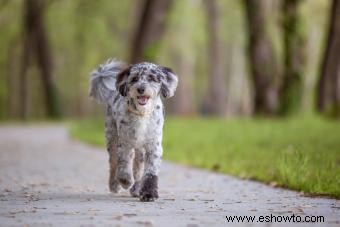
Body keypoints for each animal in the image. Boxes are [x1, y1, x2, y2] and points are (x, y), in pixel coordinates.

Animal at [89, 59, 178, 201]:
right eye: (134, 78)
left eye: (152, 78)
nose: (140, 89)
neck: (142, 114)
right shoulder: (125, 142)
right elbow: (124, 163)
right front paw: (125, 180)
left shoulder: (154, 145)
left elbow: (150, 172)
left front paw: (148, 193)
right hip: (112, 138)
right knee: (113, 163)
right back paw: (115, 184)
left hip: (140, 151)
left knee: (138, 169)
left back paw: (136, 189)